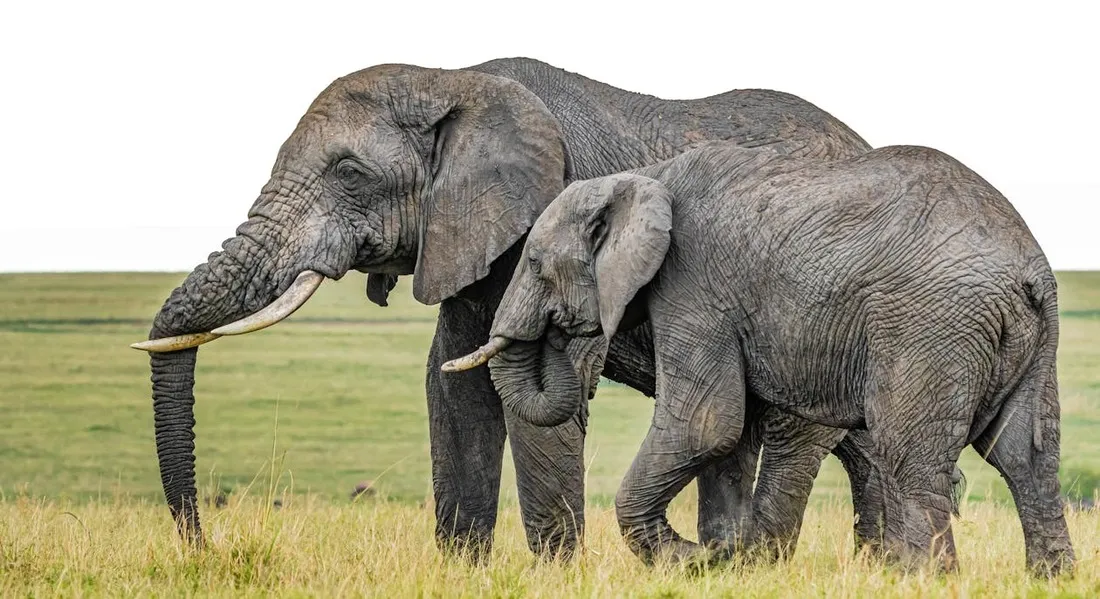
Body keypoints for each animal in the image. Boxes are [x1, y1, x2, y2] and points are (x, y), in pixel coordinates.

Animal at [129, 57, 950, 559]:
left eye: (350, 174)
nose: (204, 544)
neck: (450, 79)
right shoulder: (466, 243)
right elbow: (453, 392)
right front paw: (462, 570)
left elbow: (538, 400)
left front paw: (555, 571)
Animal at [444, 142, 1075, 575]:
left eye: (532, 263)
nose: (560, 333)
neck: (644, 178)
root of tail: (1033, 269)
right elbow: (733, 433)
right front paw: (725, 560)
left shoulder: (693, 284)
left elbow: (707, 423)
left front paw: (697, 560)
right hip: (1026, 340)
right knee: (1025, 455)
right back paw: (1049, 579)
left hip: (930, 325)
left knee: (911, 454)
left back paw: (922, 581)